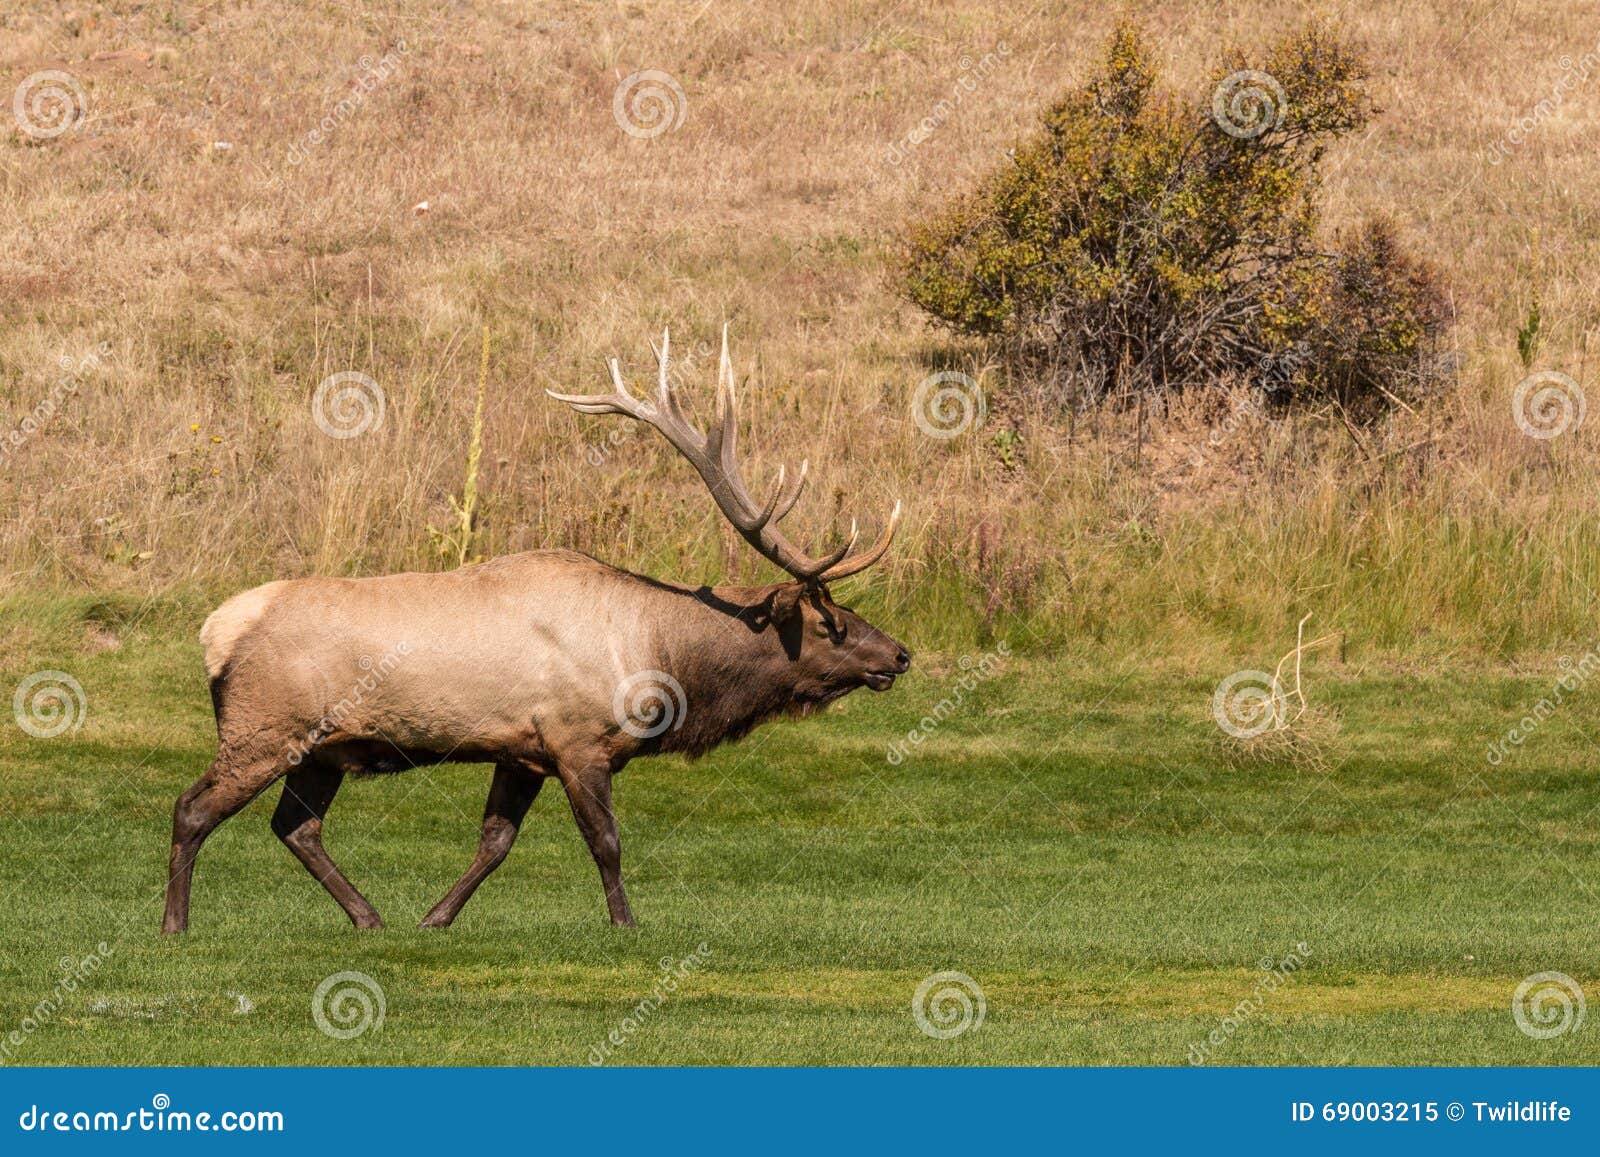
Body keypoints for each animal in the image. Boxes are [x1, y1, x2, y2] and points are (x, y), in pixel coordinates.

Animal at [160, 329, 910, 934]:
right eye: (831, 623)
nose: (900, 654)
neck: (661, 660)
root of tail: (213, 632)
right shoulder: (578, 739)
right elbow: (606, 841)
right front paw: (626, 923)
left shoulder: (519, 749)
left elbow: (495, 842)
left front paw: (434, 918)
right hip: (264, 727)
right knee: (192, 807)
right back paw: (175, 924)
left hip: (324, 748)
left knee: (296, 826)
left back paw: (369, 916)